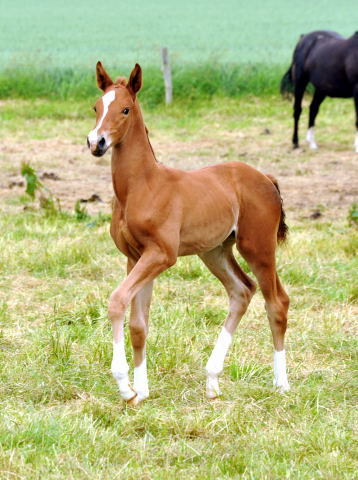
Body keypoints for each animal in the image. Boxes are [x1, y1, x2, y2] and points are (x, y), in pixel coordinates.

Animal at [87, 61, 290, 404]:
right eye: (96, 107)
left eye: (125, 109)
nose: (96, 142)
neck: (142, 186)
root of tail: (265, 177)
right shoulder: (135, 257)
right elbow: (139, 324)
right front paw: (141, 391)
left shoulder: (161, 255)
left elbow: (117, 301)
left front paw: (124, 385)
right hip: (215, 251)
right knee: (242, 290)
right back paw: (212, 381)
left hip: (257, 246)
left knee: (276, 301)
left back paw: (281, 384)